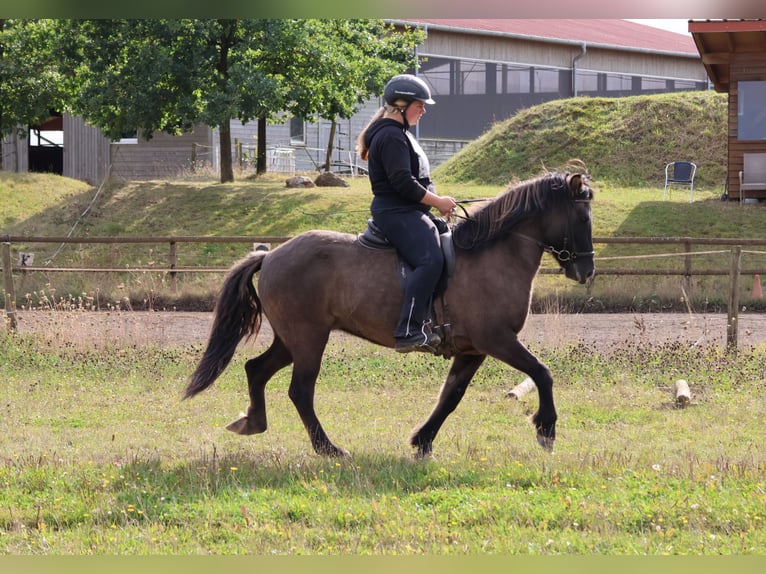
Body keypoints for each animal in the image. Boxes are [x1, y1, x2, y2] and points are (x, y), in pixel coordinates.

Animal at [183, 170, 596, 460]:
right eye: (583, 219)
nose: (586, 271)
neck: (492, 255)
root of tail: (270, 255)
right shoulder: (497, 339)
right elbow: (542, 373)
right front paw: (546, 430)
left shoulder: (472, 349)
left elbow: (451, 396)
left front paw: (423, 441)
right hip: (308, 339)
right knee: (300, 391)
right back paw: (328, 448)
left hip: (291, 339)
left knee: (257, 369)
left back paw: (253, 422)